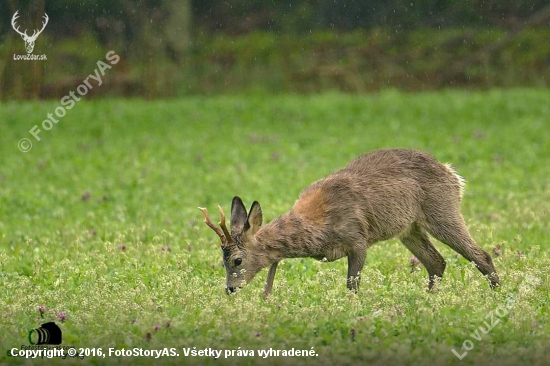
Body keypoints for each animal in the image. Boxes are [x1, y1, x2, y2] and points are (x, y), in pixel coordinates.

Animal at [201, 148, 502, 298]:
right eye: (222, 260)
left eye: (237, 259)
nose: (230, 289)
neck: (317, 229)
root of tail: (452, 174)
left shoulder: (358, 239)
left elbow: (352, 285)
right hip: (409, 228)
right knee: (436, 262)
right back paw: (429, 300)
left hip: (441, 209)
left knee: (480, 254)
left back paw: (497, 294)